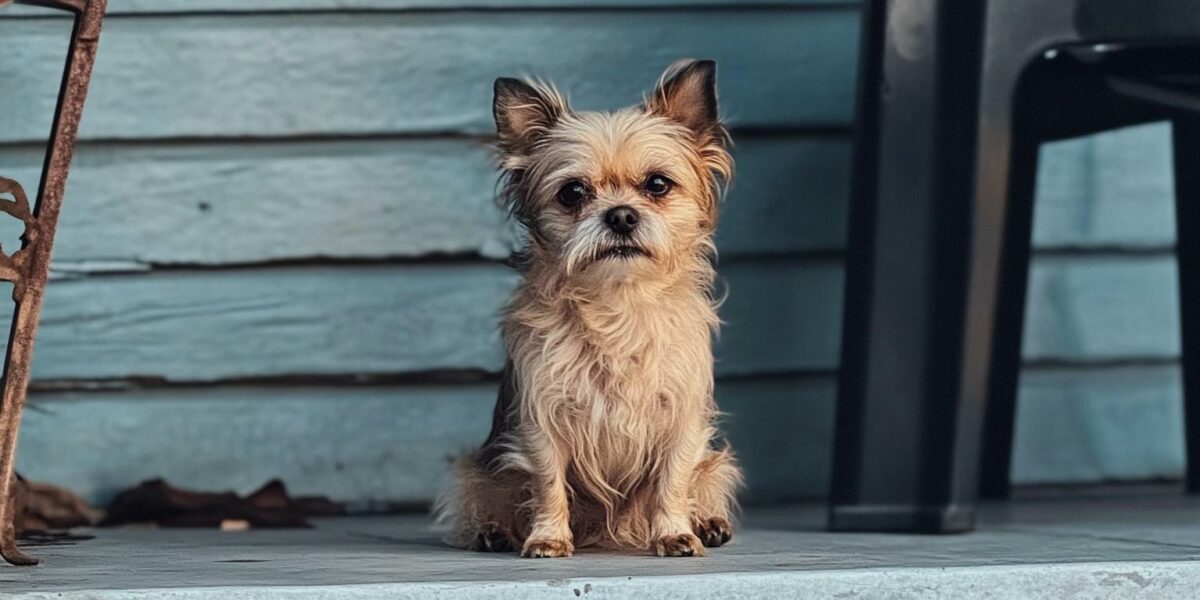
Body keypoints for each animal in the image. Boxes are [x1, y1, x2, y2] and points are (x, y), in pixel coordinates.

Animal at [439, 59, 739, 556]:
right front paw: (548, 537)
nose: (621, 215)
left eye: (658, 184)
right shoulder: (542, 420)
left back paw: (708, 521)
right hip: (478, 474)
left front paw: (674, 532)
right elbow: (547, 483)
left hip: (716, 464)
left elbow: (673, 482)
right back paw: (494, 531)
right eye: (573, 192)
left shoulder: (681, 421)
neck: (617, 302)